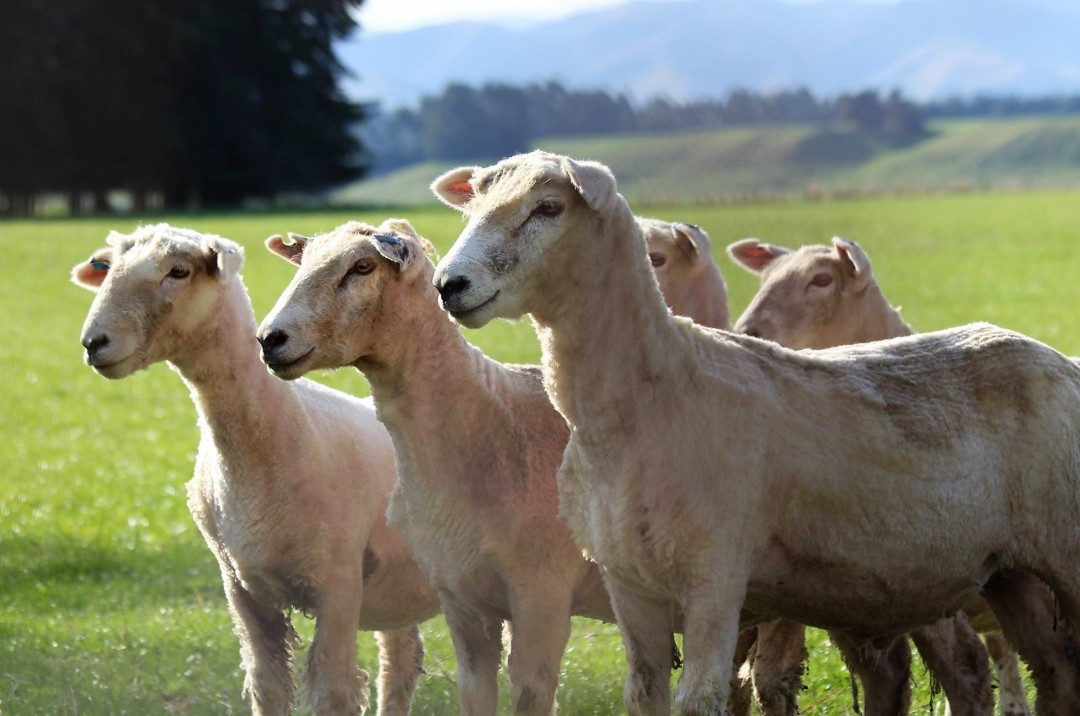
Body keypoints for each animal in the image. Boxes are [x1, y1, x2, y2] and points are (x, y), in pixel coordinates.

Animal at [70, 225, 438, 716]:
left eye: (179, 271)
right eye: (107, 269)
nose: (95, 343)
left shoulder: (339, 584)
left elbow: (333, 690)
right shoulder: (240, 589)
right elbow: (267, 684)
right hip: (396, 585)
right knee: (400, 660)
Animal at [250, 220, 609, 716]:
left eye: (363, 267)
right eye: (302, 263)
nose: (270, 339)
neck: (493, 426)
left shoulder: (544, 598)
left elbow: (531, 692)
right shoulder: (463, 601)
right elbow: (475, 692)